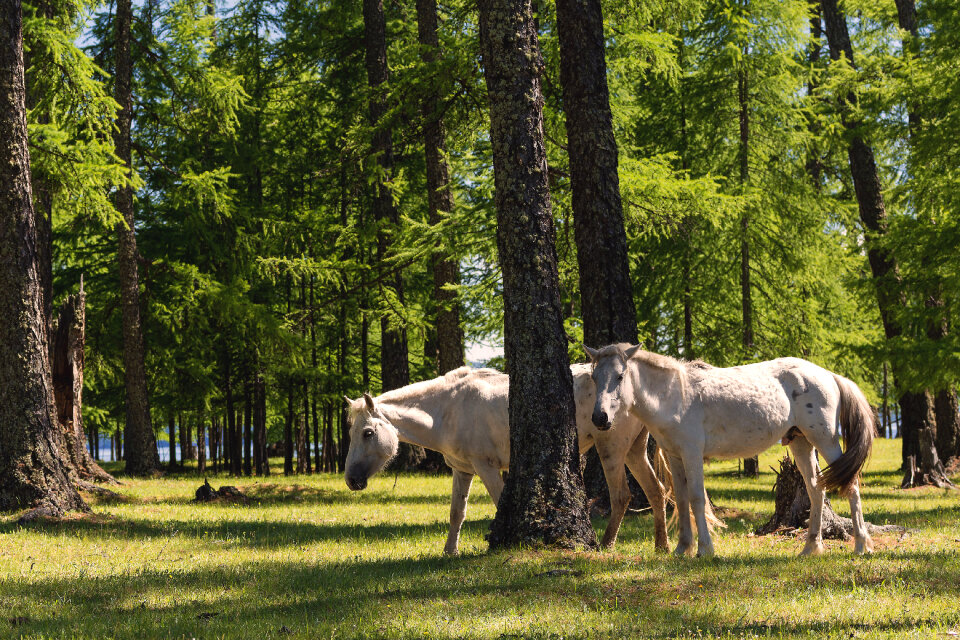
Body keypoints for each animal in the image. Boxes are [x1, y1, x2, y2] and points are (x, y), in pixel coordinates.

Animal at [344, 364, 668, 556]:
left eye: (368, 433)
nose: (351, 480)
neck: (449, 408)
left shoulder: (486, 467)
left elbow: (500, 502)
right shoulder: (463, 470)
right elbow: (456, 513)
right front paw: (450, 552)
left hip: (610, 448)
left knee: (621, 496)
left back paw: (606, 545)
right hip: (634, 451)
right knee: (656, 492)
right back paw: (661, 546)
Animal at [584, 342, 876, 556]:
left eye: (620, 376)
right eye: (594, 377)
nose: (599, 418)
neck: (675, 395)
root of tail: (828, 375)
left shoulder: (692, 454)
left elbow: (696, 499)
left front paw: (704, 550)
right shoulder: (675, 456)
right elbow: (681, 499)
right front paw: (682, 549)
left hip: (825, 439)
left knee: (851, 486)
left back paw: (861, 546)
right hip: (801, 443)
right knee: (816, 489)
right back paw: (810, 548)